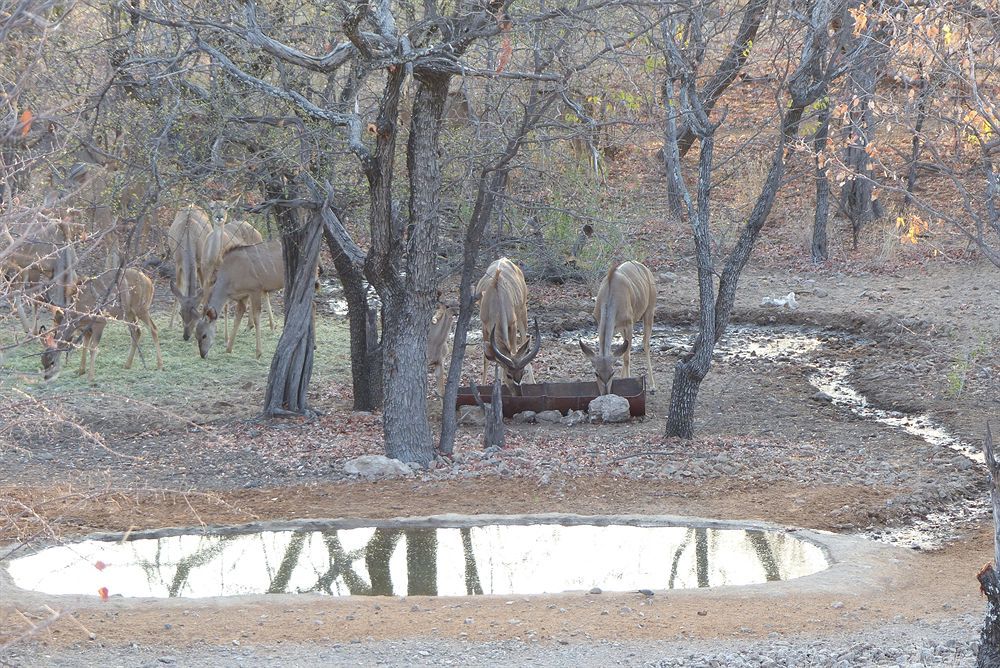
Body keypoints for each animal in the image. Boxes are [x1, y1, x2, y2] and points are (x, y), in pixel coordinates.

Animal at [476, 256, 540, 392]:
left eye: (522, 374)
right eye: (509, 375)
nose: (517, 391)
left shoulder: (512, 324)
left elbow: (513, 350)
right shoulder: (484, 326)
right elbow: (486, 359)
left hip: (522, 312)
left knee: (524, 339)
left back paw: (533, 381)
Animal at [580, 260, 656, 396]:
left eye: (612, 373)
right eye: (596, 373)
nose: (605, 393)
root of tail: (646, 269)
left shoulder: (629, 324)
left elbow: (626, 358)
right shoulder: (602, 323)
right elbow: (622, 352)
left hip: (649, 312)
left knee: (645, 344)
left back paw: (652, 386)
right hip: (621, 329)